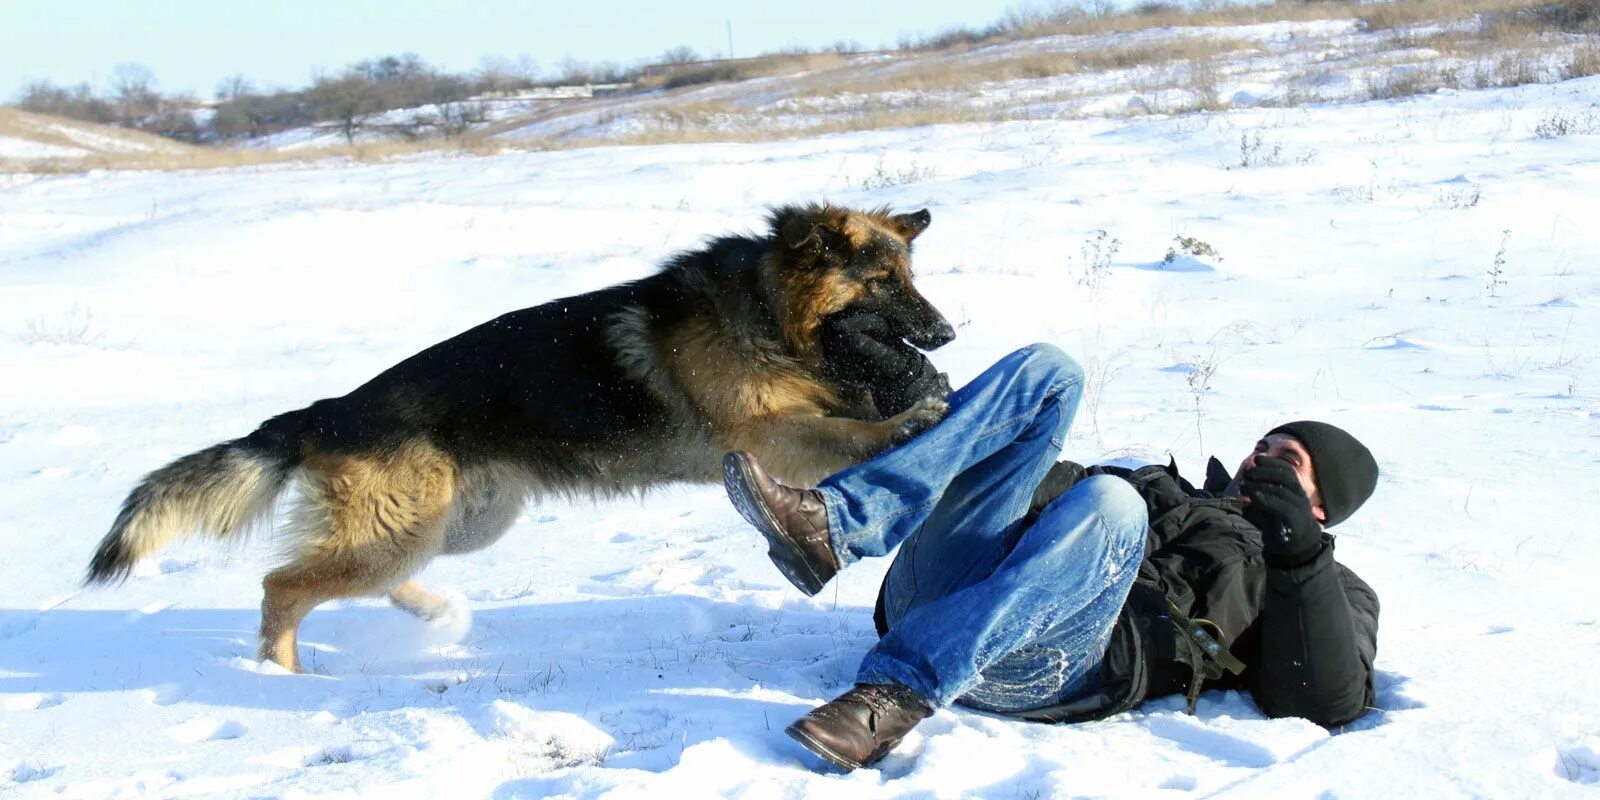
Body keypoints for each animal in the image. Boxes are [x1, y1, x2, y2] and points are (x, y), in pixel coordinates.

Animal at [87, 201, 953, 668]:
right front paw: (912, 418)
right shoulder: (769, 435)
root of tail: (327, 409)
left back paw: (435, 616)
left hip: (452, 526)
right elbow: (849, 433)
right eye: (883, 285)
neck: (768, 311)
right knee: (281, 586)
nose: (946, 334)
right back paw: (280, 676)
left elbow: (849, 422)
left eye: (911, 280)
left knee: (358, 579)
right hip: (400, 532)